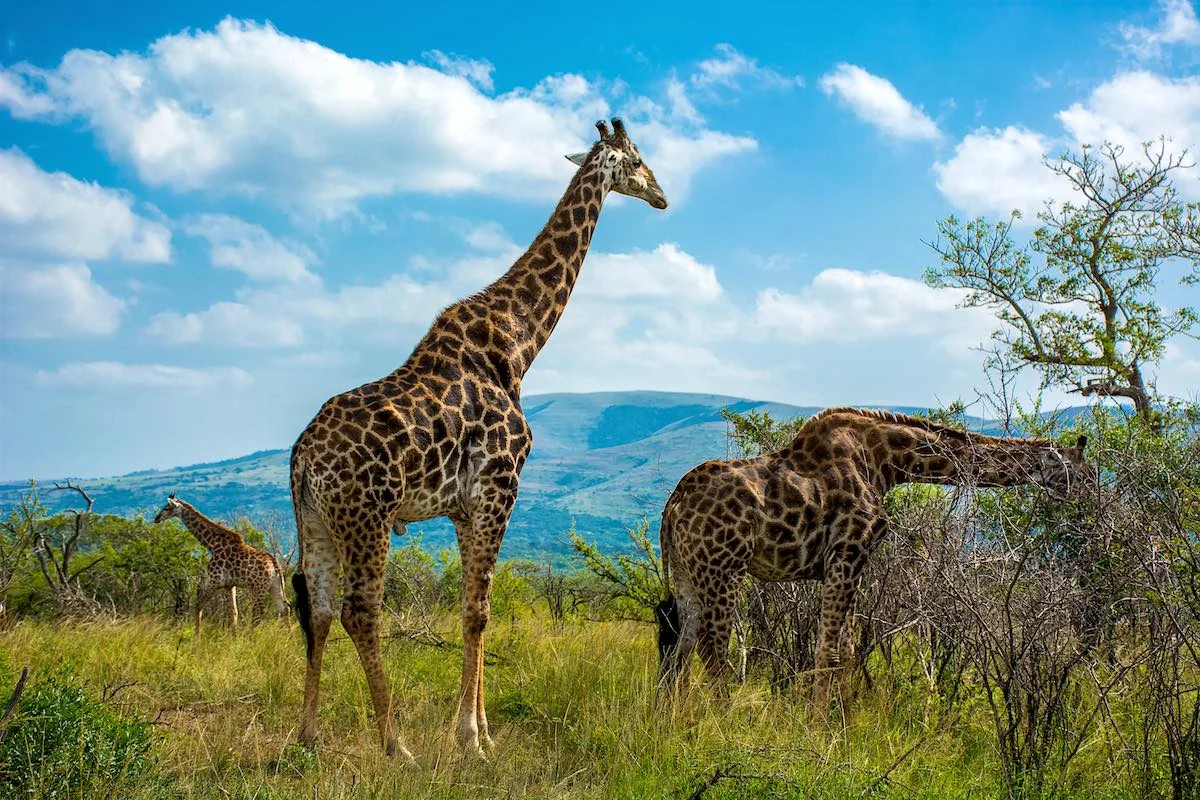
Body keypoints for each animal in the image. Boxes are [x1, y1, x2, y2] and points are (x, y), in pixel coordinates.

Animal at [152, 494, 288, 633]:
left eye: (167, 507)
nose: (156, 519)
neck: (213, 544)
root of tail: (274, 564)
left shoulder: (215, 581)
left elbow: (199, 605)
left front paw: (197, 635)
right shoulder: (229, 585)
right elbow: (233, 613)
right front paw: (234, 635)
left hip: (258, 588)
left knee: (258, 614)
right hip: (274, 585)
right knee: (284, 608)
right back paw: (288, 636)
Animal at [286, 115, 672, 762]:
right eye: (639, 160)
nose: (663, 196)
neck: (519, 341)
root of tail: (301, 459)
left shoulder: (465, 506)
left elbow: (473, 605)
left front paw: (481, 729)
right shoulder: (499, 487)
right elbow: (478, 611)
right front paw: (468, 737)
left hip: (314, 521)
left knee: (315, 611)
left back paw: (307, 735)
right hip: (366, 518)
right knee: (360, 612)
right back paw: (397, 746)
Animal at [652, 410, 1094, 705]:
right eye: (1083, 473)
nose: (1093, 502)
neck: (887, 462)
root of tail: (673, 507)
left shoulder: (850, 562)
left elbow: (846, 653)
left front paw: (843, 730)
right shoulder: (848, 551)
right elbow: (829, 652)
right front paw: (821, 735)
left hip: (687, 573)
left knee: (679, 645)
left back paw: (673, 724)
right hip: (723, 568)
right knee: (712, 649)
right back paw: (722, 722)